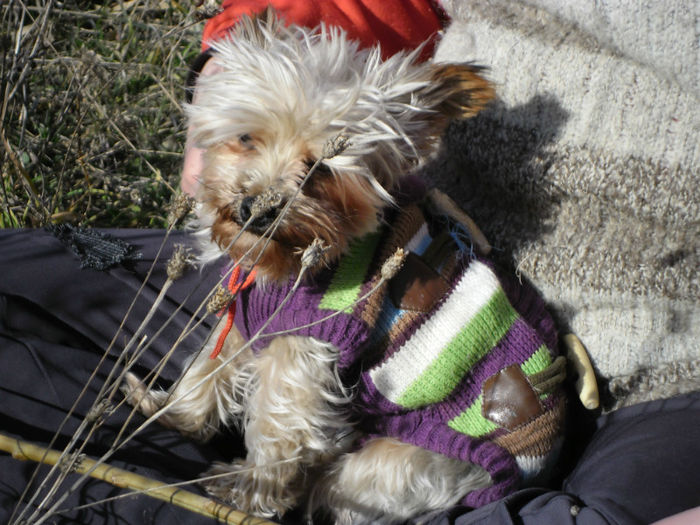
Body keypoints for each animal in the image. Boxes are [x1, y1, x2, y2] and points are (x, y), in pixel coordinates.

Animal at [123, 10, 568, 520]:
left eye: (321, 169)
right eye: (246, 138)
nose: (257, 207)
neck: (288, 263)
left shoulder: (309, 346)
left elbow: (281, 425)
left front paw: (248, 489)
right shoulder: (246, 317)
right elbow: (208, 368)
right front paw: (168, 412)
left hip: (402, 464)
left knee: (336, 485)